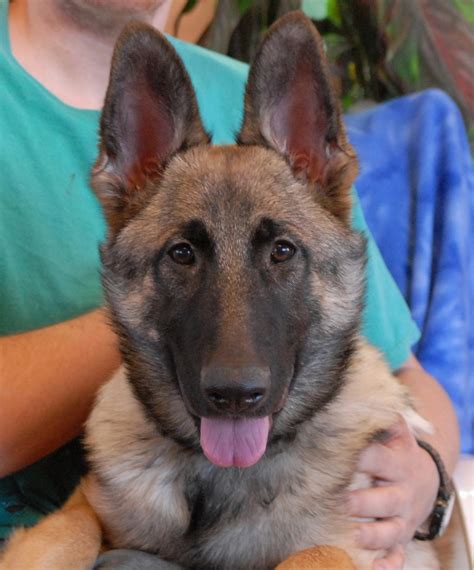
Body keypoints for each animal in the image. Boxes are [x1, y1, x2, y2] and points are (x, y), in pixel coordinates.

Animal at [0, 12, 436, 568]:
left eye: (283, 251)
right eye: (182, 253)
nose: (234, 395)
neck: (218, 478)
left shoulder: (352, 548)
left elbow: (312, 553)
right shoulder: (85, 507)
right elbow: (66, 534)